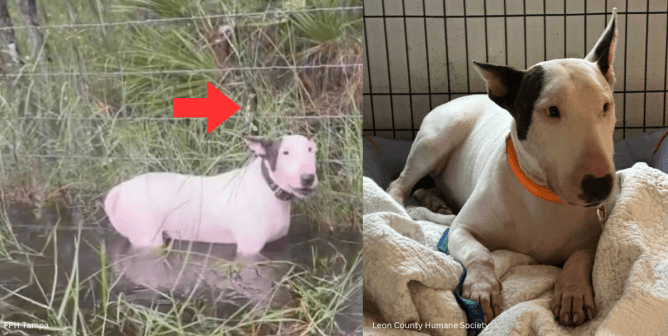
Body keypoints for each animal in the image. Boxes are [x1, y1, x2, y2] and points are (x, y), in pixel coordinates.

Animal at [103, 135, 318, 256]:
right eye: (285, 153)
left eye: (311, 150)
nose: (308, 178)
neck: (268, 188)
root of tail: (118, 190)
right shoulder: (249, 249)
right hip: (147, 238)